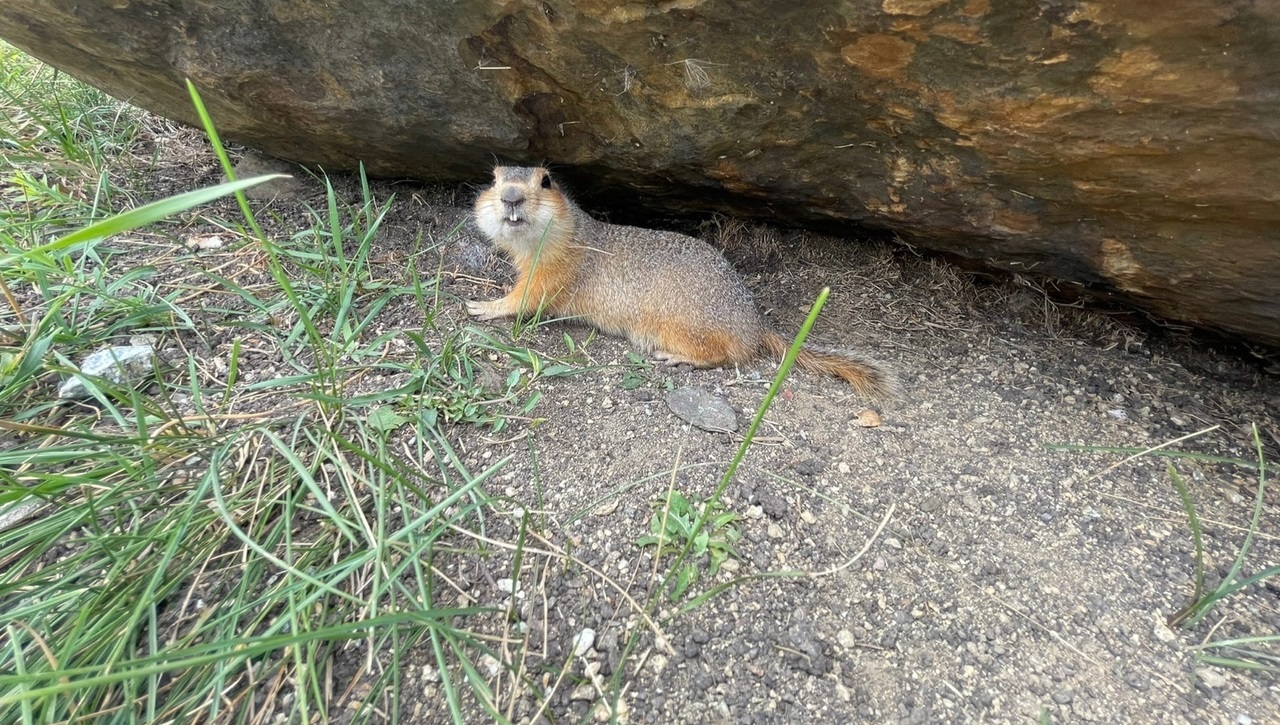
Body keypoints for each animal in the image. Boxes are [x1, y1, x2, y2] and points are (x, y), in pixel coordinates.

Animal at [465, 166, 896, 399]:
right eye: (493, 178)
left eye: (546, 181)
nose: (511, 196)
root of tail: (755, 323)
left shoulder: (553, 271)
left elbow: (526, 297)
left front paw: (483, 305)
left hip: (678, 325)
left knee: (724, 355)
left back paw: (678, 357)